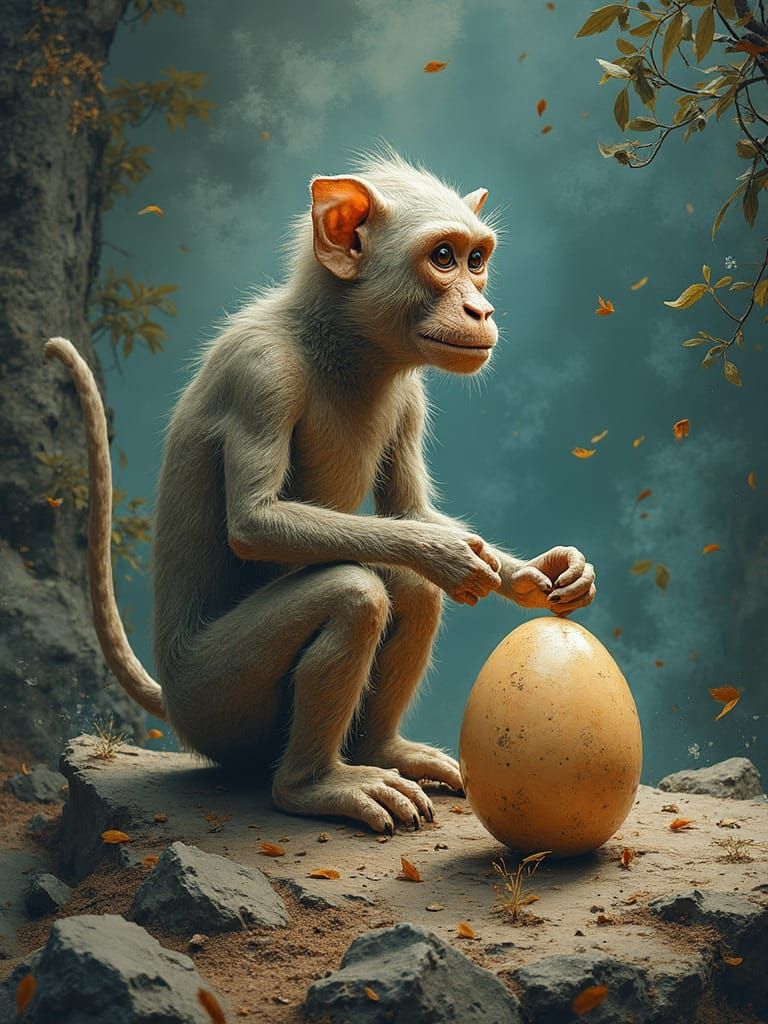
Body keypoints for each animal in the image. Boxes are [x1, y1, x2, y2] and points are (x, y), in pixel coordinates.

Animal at [45, 148, 596, 835]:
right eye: (443, 257)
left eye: (477, 261)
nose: (482, 311)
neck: (339, 342)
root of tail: (171, 698)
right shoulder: (262, 371)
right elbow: (256, 521)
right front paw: (446, 555)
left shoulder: (409, 394)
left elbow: (411, 511)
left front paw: (537, 572)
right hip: (213, 700)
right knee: (354, 594)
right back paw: (314, 785)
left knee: (406, 587)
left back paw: (384, 751)